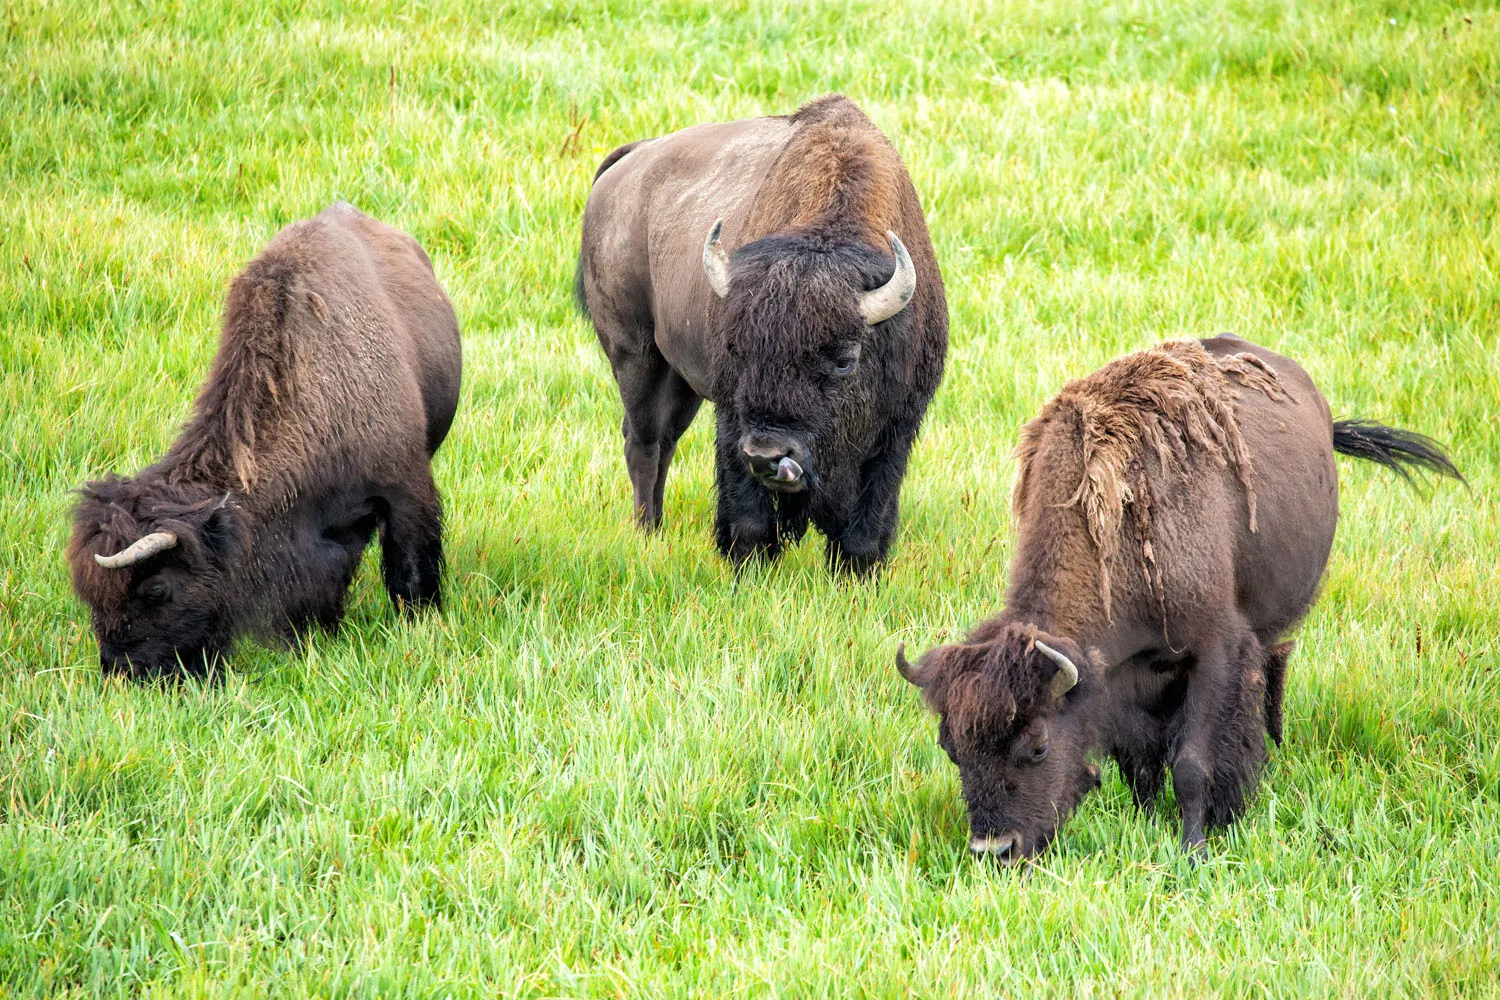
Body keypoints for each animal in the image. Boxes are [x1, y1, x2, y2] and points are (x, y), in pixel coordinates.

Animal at [68, 203, 461, 678]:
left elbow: (410, 569)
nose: (121, 669)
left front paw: (421, 622)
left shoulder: (405, 488)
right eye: (90, 595)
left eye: (157, 588)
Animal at [576, 95, 948, 574]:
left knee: (665, 439)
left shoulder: (897, 429)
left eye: (844, 360)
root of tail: (627, 163)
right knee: (643, 440)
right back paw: (647, 531)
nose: (769, 456)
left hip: (681, 379)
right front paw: (748, 564)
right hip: (634, 355)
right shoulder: (734, 420)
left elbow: (867, 525)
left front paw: (855, 575)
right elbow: (748, 515)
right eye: (738, 349)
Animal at [897, 335, 1462, 861]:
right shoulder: (1126, 681)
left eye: (1037, 747)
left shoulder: (1213, 652)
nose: (995, 849)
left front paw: (1195, 849)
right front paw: (1146, 821)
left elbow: (1191, 762)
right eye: (951, 749)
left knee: (1272, 672)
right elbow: (1139, 761)